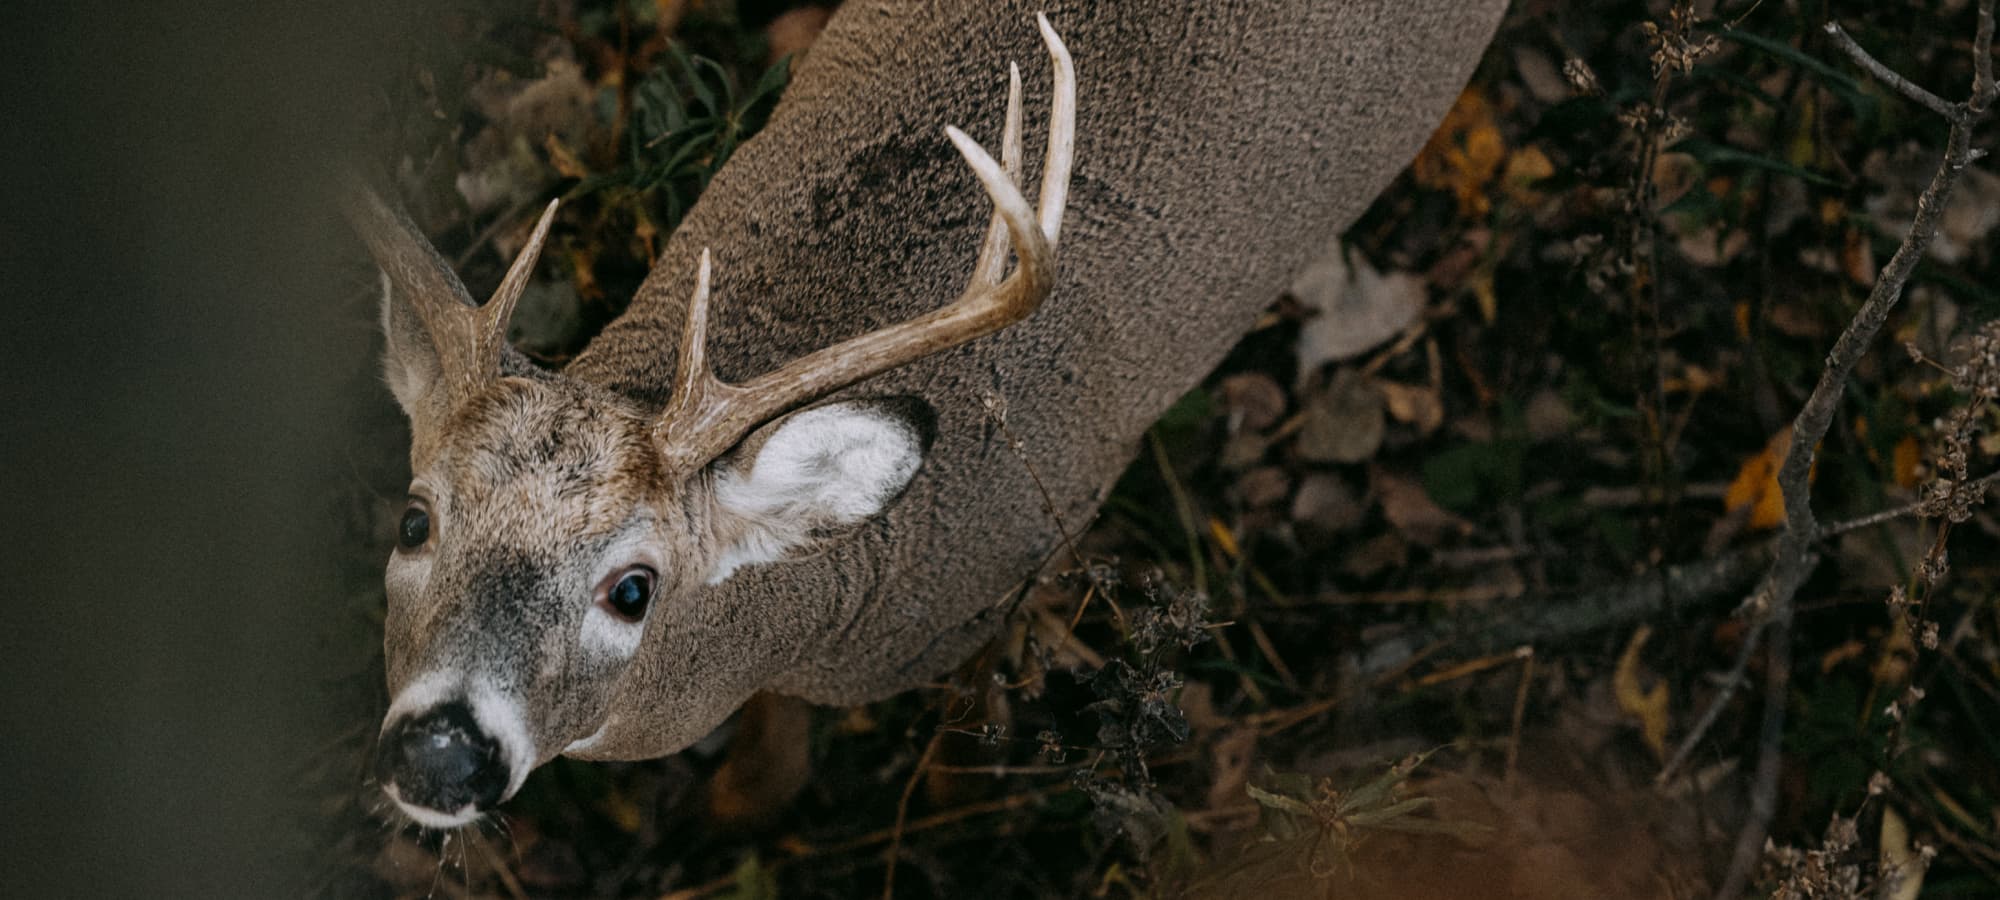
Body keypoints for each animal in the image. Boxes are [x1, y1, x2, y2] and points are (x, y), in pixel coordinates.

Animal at [346, 1, 1505, 828]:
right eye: (413, 519)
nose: (441, 752)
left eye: (634, 588)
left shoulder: (1013, 569)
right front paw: (743, 805)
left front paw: (941, 790)